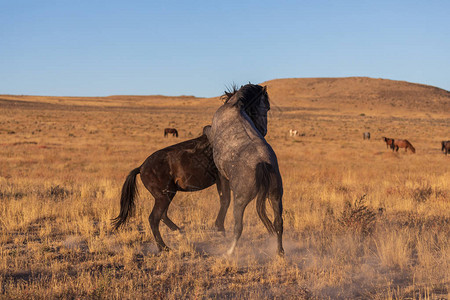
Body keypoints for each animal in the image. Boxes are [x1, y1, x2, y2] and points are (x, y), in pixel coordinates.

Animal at [206, 84, 284, 255]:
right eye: (267, 106)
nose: (263, 130)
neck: (235, 106)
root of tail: (263, 163)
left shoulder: (222, 175)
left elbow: (224, 199)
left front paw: (219, 227)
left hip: (240, 201)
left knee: (238, 227)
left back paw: (228, 253)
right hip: (276, 197)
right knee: (278, 224)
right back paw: (280, 252)